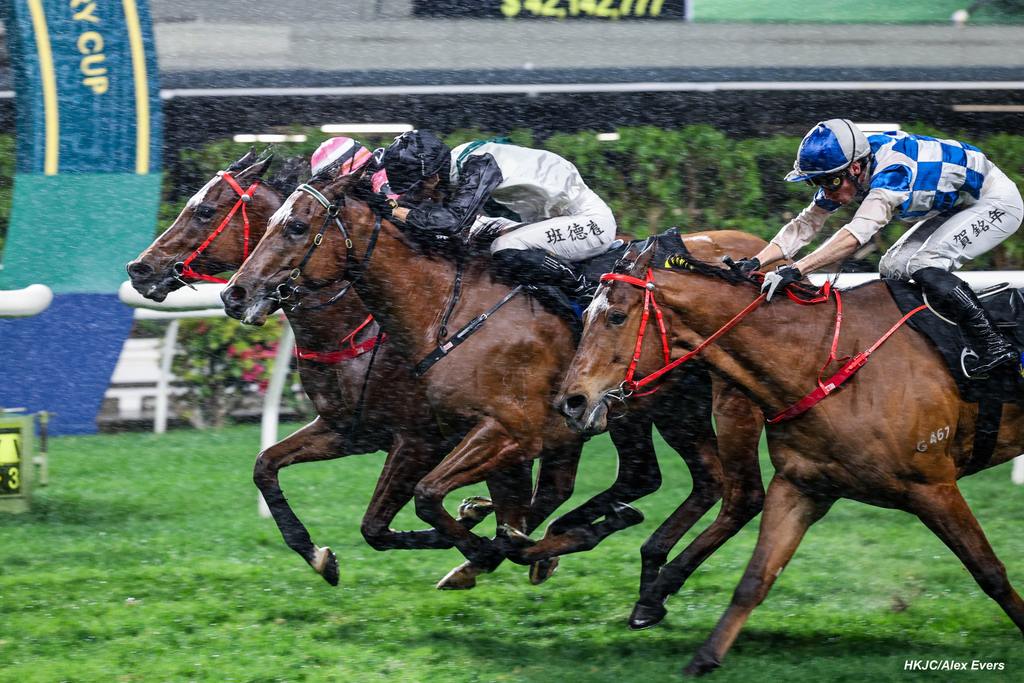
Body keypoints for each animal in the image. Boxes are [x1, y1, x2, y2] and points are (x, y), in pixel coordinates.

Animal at [126, 152, 569, 589]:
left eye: (203, 210)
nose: (139, 269)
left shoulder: (420, 439)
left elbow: (378, 523)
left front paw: (478, 542)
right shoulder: (348, 430)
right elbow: (266, 466)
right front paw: (318, 556)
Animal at [222, 165, 770, 593]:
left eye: (296, 226)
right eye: (269, 222)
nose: (235, 292)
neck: (446, 310)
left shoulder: (490, 434)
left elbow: (429, 501)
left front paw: (487, 547)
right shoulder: (370, 429)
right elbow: (273, 468)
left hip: (702, 404)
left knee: (723, 486)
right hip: (659, 409)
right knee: (679, 478)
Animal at [557, 237, 1024, 675]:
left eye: (616, 316)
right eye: (585, 314)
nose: (571, 402)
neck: (825, 361)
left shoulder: (933, 486)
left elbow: (989, 571)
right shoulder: (801, 486)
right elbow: (755, 578)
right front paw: (702, 656)